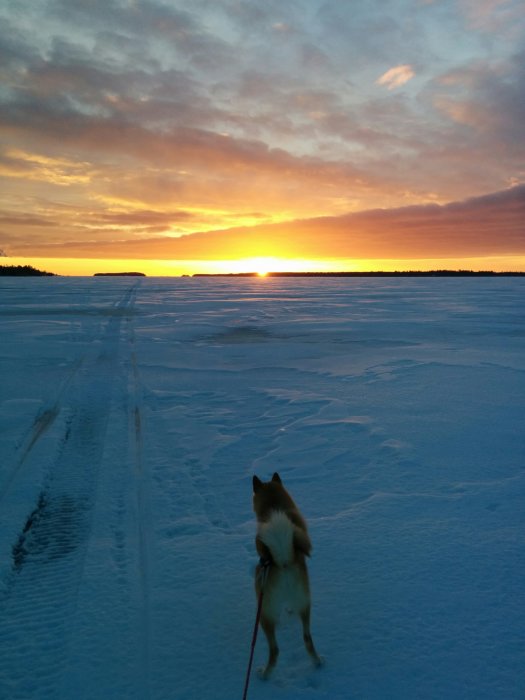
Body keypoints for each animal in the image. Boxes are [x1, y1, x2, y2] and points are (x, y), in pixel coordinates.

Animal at [252, 470, 322, 680]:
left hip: (264, 614)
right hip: (305, 604)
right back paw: (317, 662)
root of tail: (283, 562)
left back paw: (264, 674)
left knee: (275, 650)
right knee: (307, 638)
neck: (275, 506)